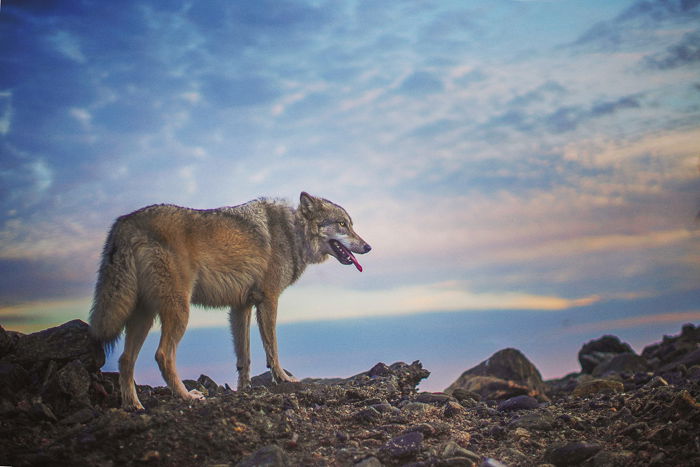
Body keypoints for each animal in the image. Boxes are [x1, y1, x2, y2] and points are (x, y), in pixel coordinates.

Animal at [90, 192, 372, 412]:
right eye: (342, 224)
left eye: (350, 224)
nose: (368, 247)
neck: (293, 235)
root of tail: (125, 221)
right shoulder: (269, 300)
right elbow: (273, 348)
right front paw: (283, 379)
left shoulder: (241, 307)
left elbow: (243, 356)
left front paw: (243, 389)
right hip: (179, 311)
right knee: (162, 355)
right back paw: (186, 396)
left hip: (144, 316)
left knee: (125, 360)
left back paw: (134, 405)